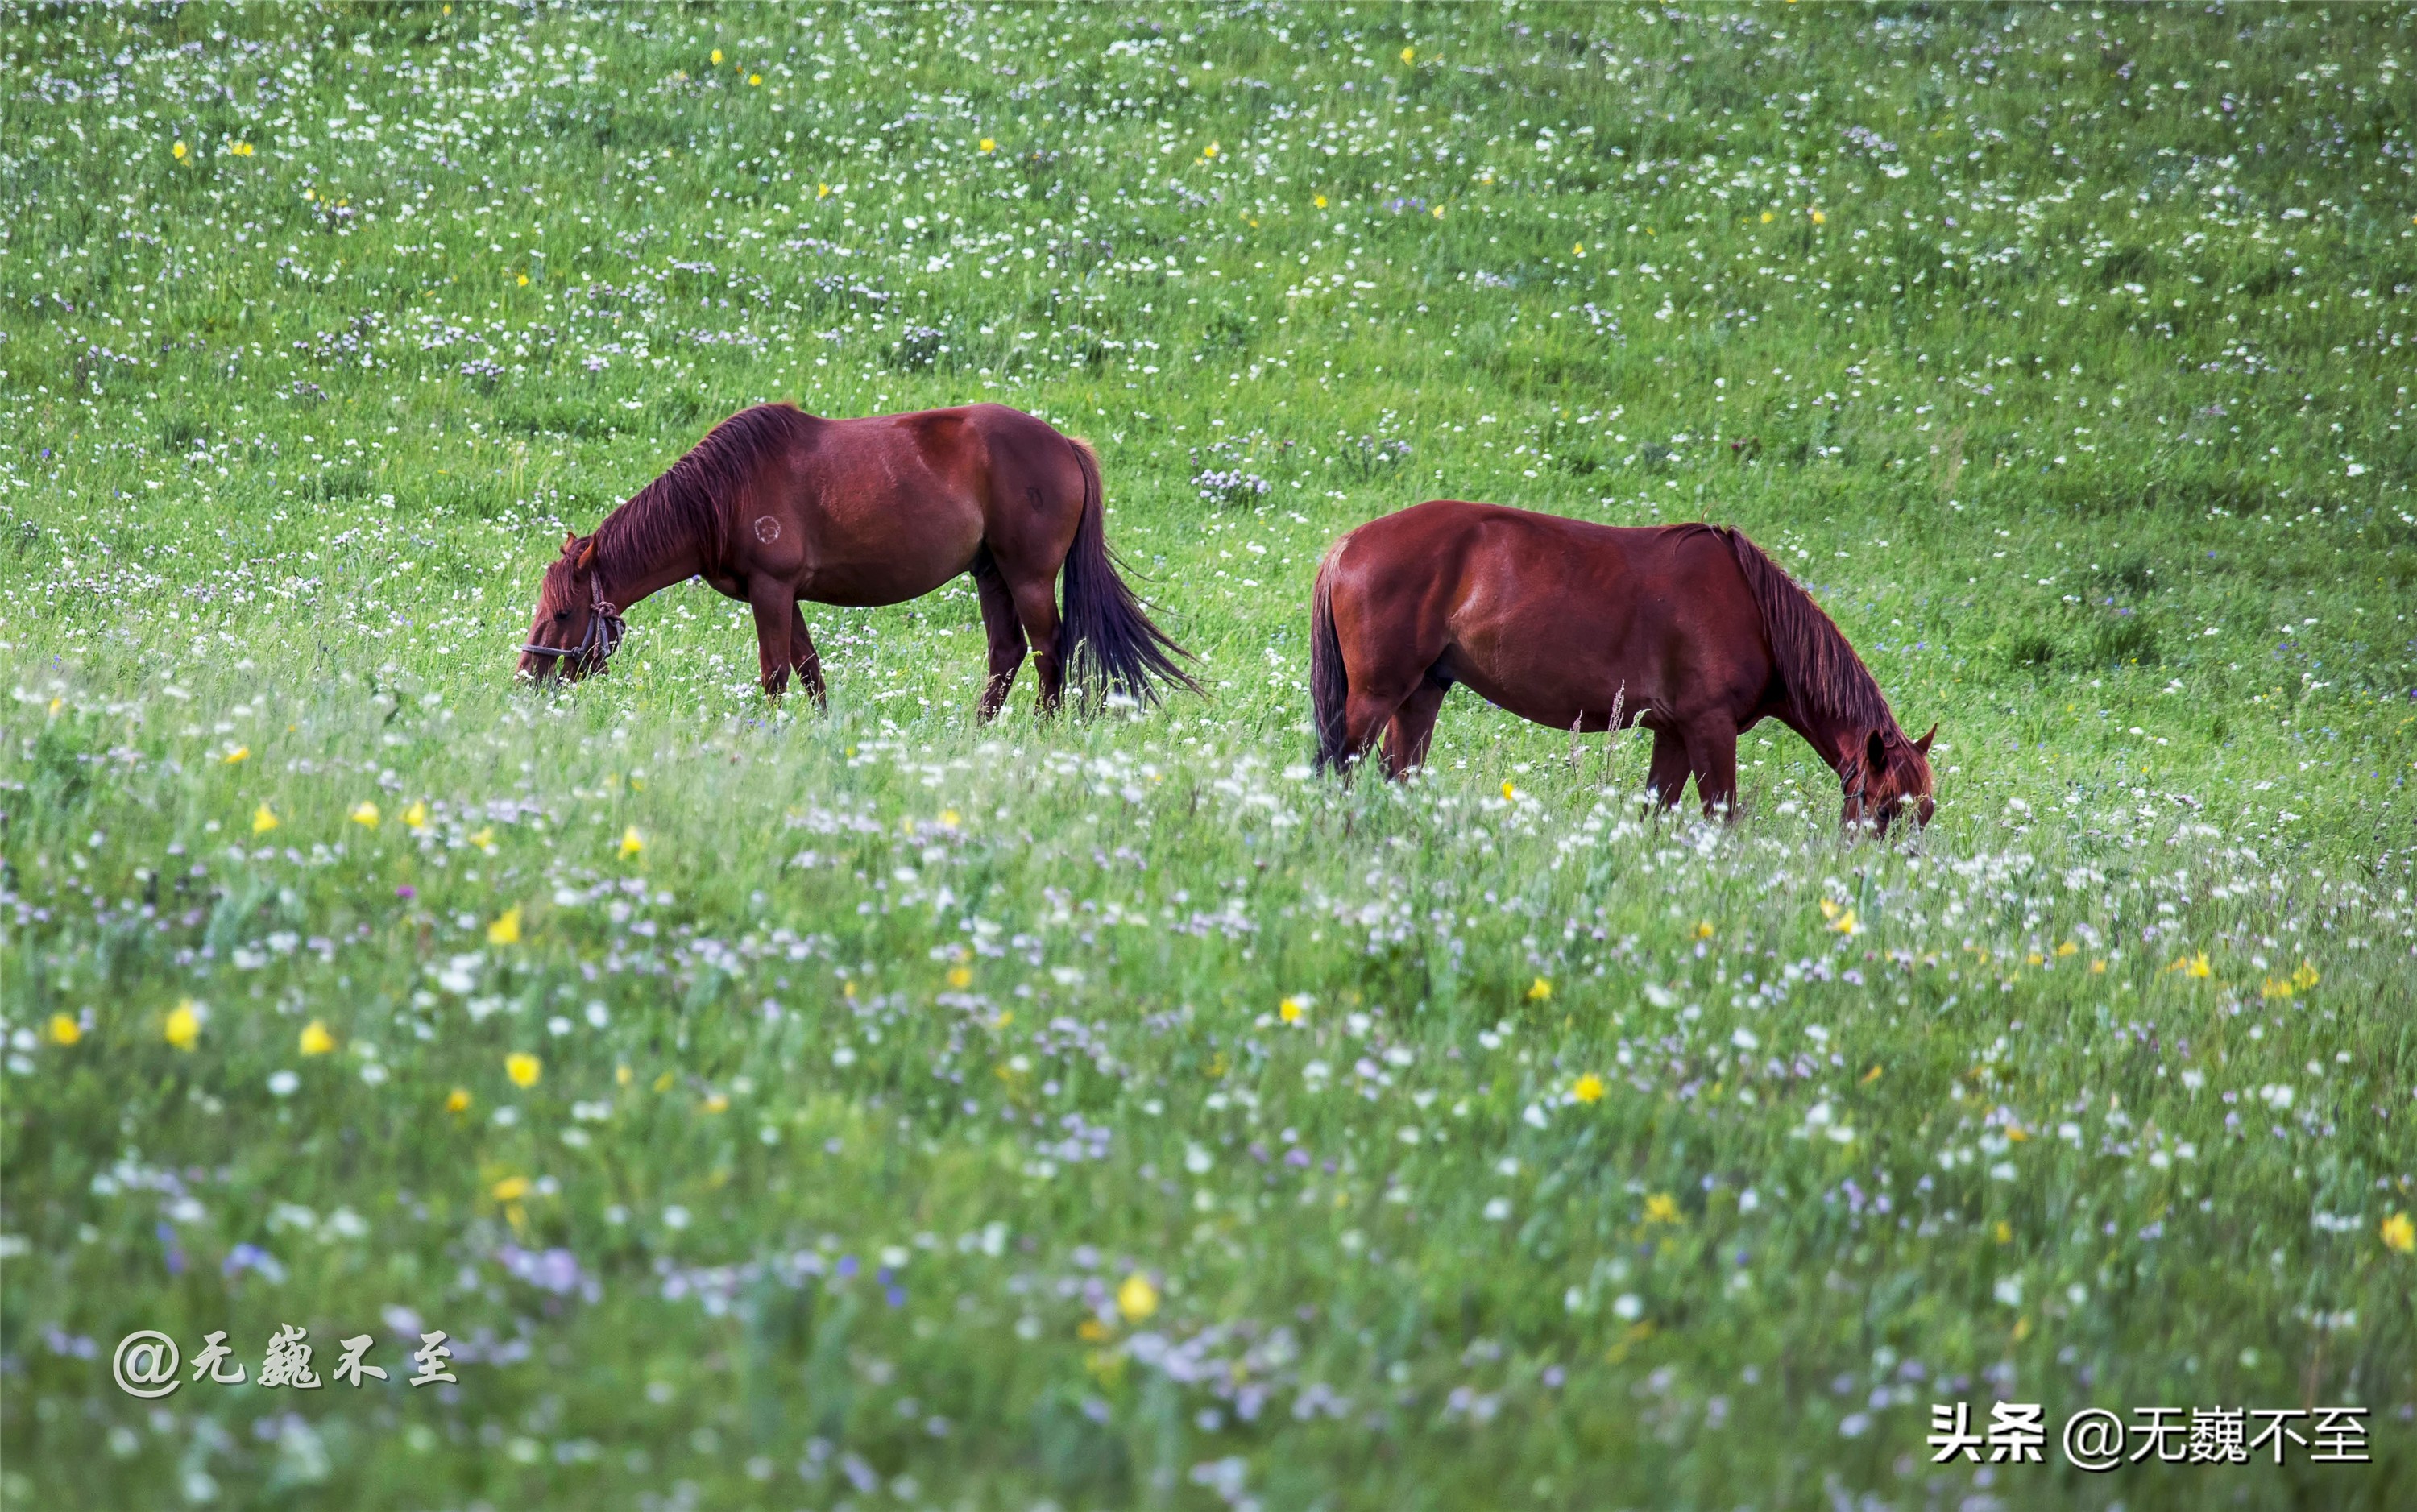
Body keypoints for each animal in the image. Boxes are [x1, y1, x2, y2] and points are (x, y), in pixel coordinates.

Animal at [517, 393, 1189, 710]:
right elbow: (810, 671)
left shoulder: (772, 590)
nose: (527, 677)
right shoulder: (785, 595)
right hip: (991, 574)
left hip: (1026, 578)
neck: (723, 493)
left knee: (1050, 652)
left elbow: (776, 673)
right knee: (1007, 653)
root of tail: (1066, 444)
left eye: (563, 613)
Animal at [1315, 502, 1934, 835]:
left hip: (1421, 694)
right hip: (1375, 698)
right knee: (1339, 770)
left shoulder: (1675, 735)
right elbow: (1719, 818)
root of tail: (1349, 543)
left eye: (1923, 813)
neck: (1757, 615)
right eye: (1883, 809)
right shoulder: (1710, 730)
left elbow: (1655, 814)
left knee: (1395, 775)